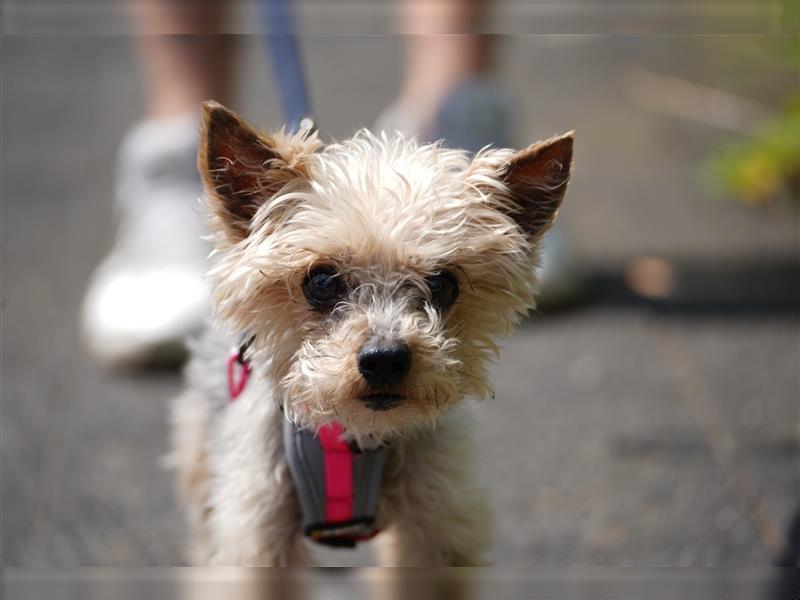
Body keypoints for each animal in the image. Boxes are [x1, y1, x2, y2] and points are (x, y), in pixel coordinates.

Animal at [169, 101, 572, 564]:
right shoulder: (254, 532)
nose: (385, 359)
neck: (356, 439)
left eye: (443, 284)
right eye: (321, 281)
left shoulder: (435, 527)